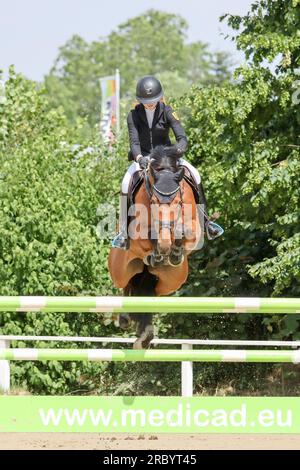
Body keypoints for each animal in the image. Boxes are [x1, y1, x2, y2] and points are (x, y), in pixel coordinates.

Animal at [107, 146, 202, 348]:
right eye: (154, 202)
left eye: (177, 201)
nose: (165, 247)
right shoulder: (138, 232)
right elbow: (148, 235)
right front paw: (158, 252)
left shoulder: (194, 228)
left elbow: (185, 231)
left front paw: (173, 253)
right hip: (120, 271)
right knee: (126, 285)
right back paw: (126, 318)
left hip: (170, 282)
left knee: (147, 294)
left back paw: (144, 335)